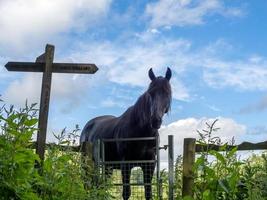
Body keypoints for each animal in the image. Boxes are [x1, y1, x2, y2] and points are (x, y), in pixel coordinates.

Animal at [80, 67, 173, 200]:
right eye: (150, 93)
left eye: (167, 93)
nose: (155, 120)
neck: (141, 134)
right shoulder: (126, 164)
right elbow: (126, 192)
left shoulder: (149, 165)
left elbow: (148, 192)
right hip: (87, 163)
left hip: (108, 167)